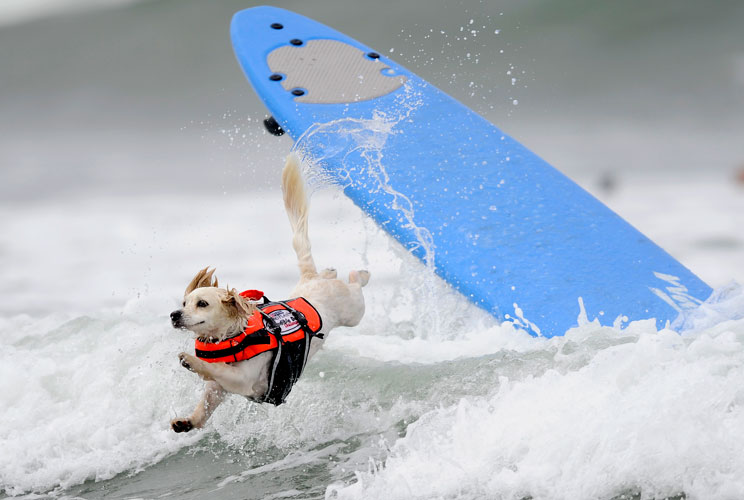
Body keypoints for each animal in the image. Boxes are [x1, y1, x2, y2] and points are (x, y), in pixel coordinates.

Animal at [167, 154, 368, 432]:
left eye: (202, 303)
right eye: (184, 302)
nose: (174, 314)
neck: (235, 334)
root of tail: (310, 279)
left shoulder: (243, 378)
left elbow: (214, 369)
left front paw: (190, 360)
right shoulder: (218, 389)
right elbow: (206, 403)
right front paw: (187, 421)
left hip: (353, 310)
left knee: (356, 286)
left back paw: (359, 273)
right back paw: (330, 270)